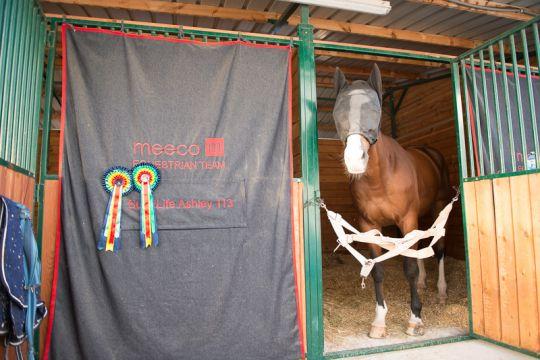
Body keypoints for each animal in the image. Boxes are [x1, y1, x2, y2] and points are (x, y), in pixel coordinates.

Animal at [334, 64, 452, 338]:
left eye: (374, 110)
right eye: (338, 111)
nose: (355, 159)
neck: (382, 177)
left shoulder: (406, 220)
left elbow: (408, 268)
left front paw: (415, 319)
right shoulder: (369, 226)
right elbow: (377, 270)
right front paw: (379, 322)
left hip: (438, 207)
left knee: (439, 248)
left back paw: (441, 292)